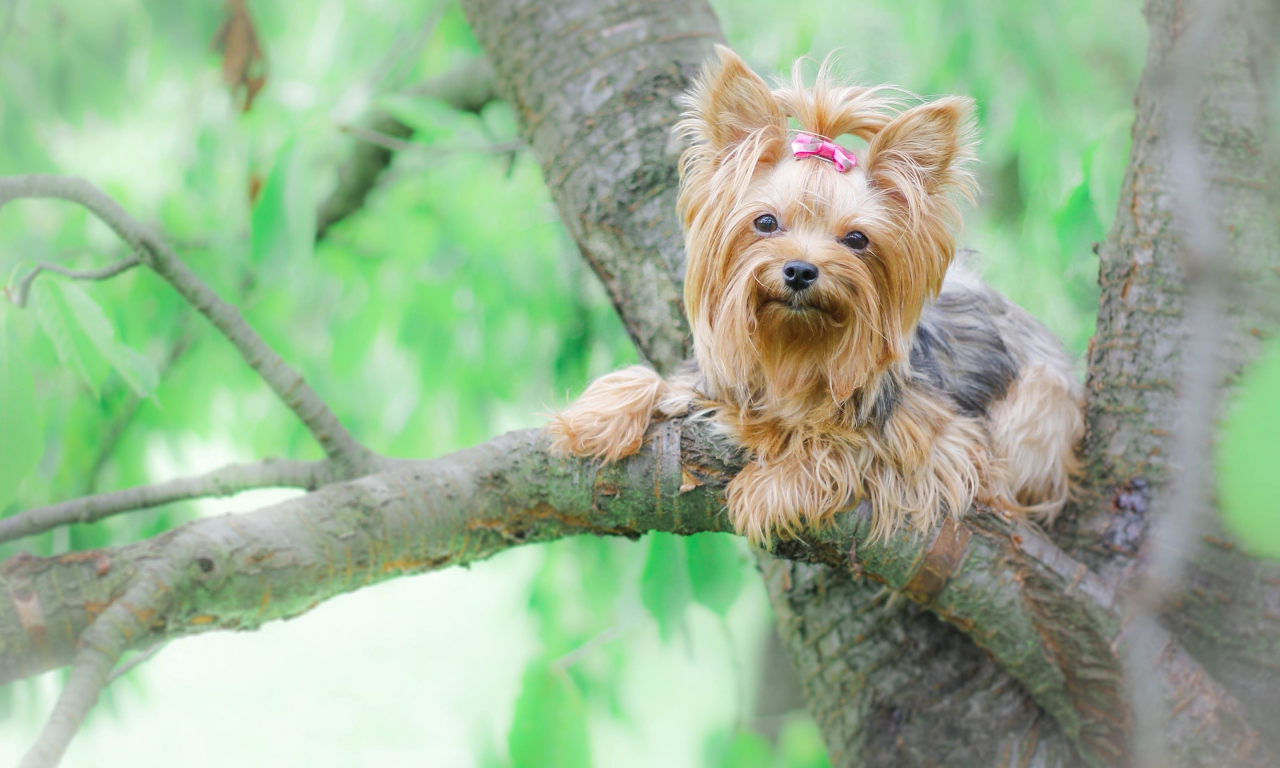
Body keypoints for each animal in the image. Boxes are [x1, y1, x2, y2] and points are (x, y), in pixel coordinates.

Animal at [547, 46, 1080, 545]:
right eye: (765, 222)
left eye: (857, 240)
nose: (801, 270)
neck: (796, 348)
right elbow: (661, 382)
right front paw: (598, 415)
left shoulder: (943, 445)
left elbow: (849, 444)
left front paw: (772, 486)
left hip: (1042, 404)